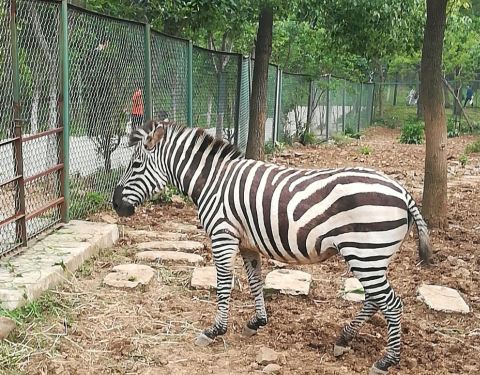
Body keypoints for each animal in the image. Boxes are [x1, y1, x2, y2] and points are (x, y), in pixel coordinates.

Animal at [112, 121, 432, 375]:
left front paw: (215, 330)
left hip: (365, 253)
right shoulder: (247, 244)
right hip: (371, 256)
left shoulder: (223, 236)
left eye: (136, 165)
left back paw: (386, 361)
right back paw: (344, 339)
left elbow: (224, 284)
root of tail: (402, 191)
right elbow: (255, 281)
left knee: (391, 303)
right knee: (375, 299)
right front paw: (257, 321)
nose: (116, 205)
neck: (212, 182)